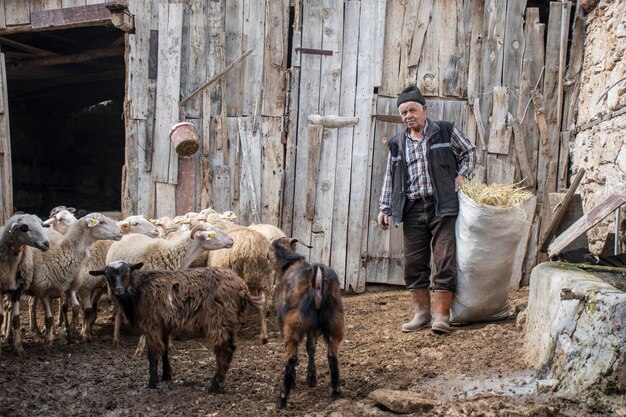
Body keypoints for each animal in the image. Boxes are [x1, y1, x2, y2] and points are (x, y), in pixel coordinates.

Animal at [14, 214, 122, 354]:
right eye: (102, 222)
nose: (121, 232)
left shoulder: (75, 287)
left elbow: (79, 307)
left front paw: (74, 333)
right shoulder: (53, 290)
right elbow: (67, 311)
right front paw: (81, 334)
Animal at [89, 260, 258, 390]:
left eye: (126, 272)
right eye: (108, 275)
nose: (118, 291)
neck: (138, 290)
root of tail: (242, 287)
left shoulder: (152, 325)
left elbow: (152, 354)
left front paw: (152, 383)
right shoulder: (164, 325)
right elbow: (164, 350)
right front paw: (166, 376)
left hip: (218, 320)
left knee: (224, 349)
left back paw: (214, 385)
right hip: (230, 321)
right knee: (231, 348)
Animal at [270, 236, 344, 408]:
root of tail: (317, 276)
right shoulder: (312, 327)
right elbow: (311, 347)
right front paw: (311, 378)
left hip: (294, 324)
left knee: (291, 357)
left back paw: (282, 399)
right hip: (334, 321)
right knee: (332, 355)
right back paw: (335, 391)